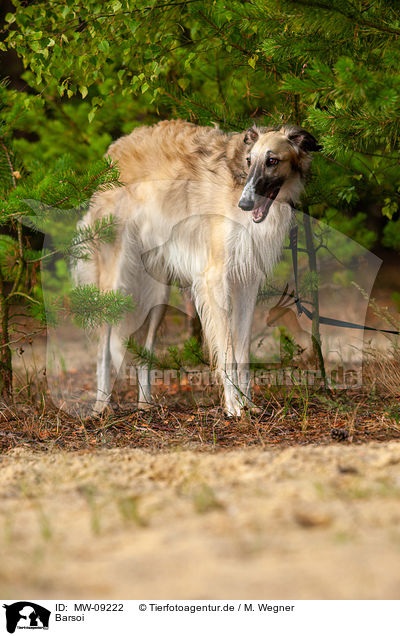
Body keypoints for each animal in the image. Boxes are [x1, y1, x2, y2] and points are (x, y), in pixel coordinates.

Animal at [74, 120, 318, 418]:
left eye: (272, 160)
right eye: (249, 161)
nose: (244, 204)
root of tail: (113, 151)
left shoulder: (247, 283)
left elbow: (242, 352)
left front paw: (249, 405)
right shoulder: (215, 279)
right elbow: (226, 354)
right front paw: (234, 408)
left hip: (157, 294)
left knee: (145, 354)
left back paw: (146, 406)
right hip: (114, 283)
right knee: (103, 347)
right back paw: (101, 406)